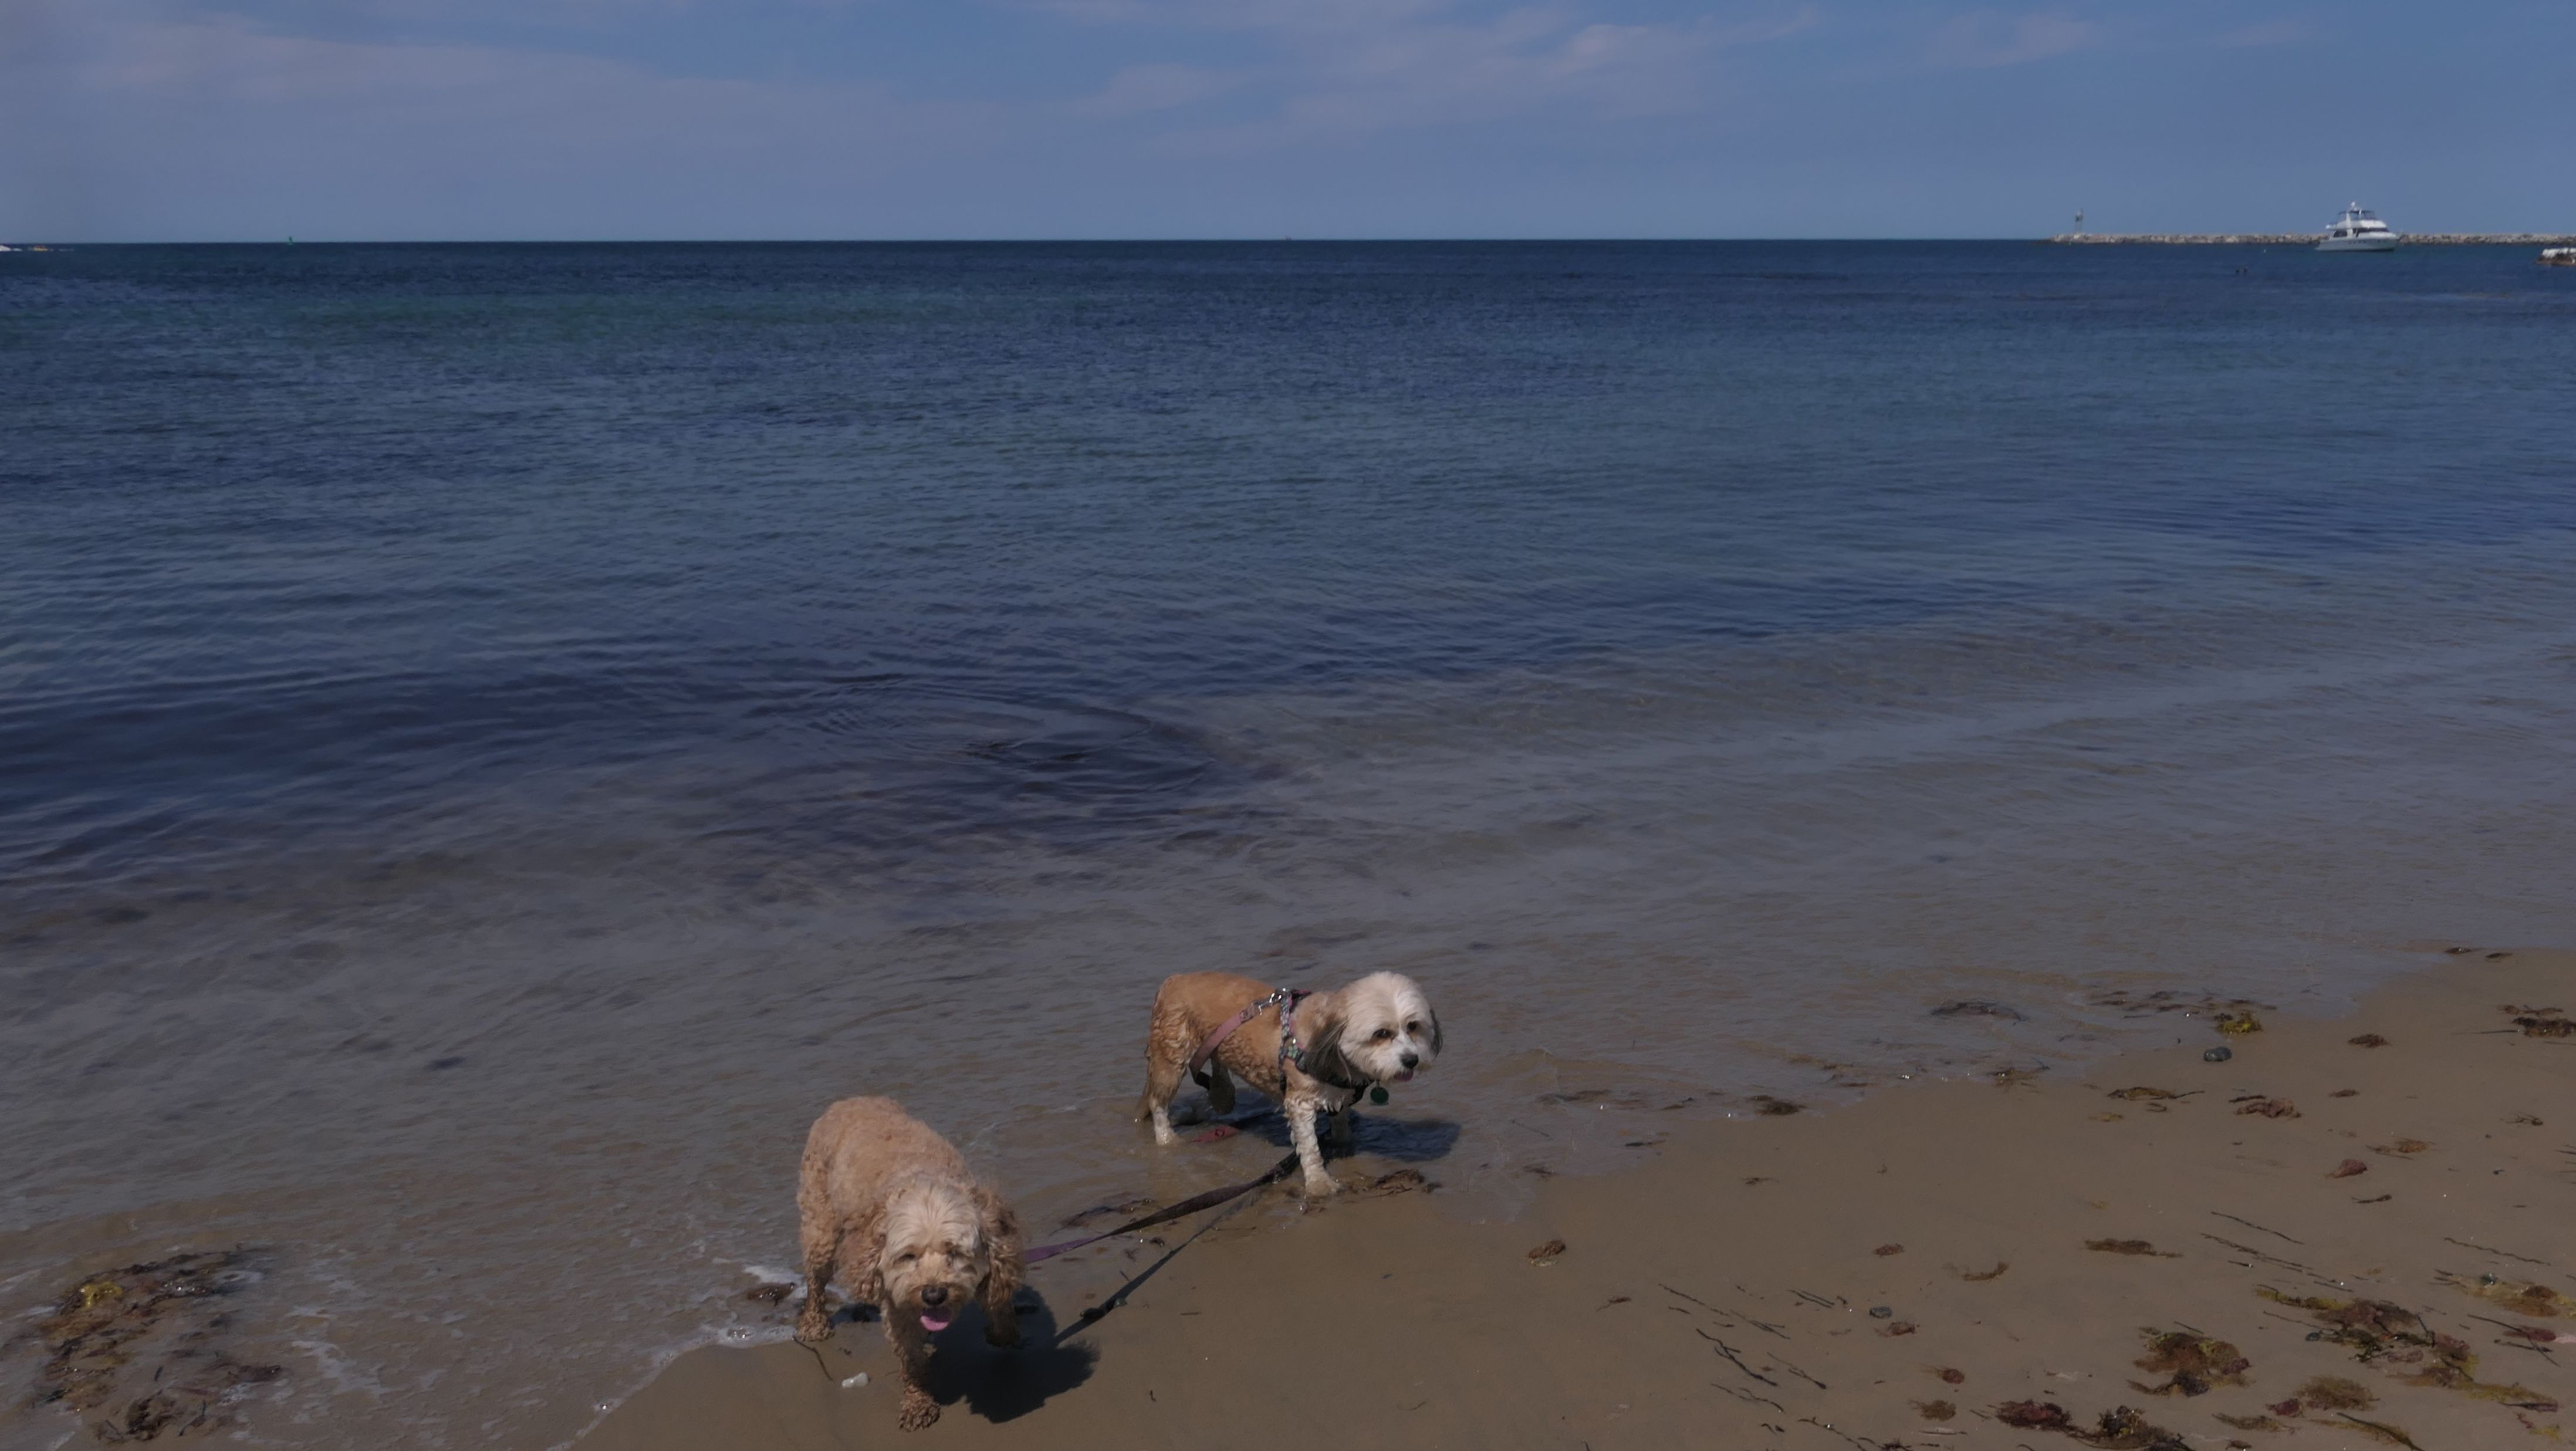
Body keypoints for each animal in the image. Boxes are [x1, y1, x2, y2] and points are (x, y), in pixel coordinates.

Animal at [795, 1097, 1022, 1431]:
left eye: (955, 1252)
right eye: (908, 1256)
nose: (933, 1295)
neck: (923, 1181)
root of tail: (848, 1100)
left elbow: (998, 1299)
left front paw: (1003, 1332)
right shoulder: (894, 1300)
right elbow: (911, 1359)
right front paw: (918, 1403)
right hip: (821, 1226)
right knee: (816, 1279)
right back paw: (814, 1323)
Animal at [1137, 971, 1441, 1196]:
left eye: (1413, 1026)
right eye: (1382, 1033)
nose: (1412, 1060)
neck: (1328, 1042)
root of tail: (1172, 981)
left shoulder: (1339, 1094)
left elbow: (1341, 1123)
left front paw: (1344, 1145)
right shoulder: (1300, 1102)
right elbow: (1309, 1146)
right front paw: (1319, 1182)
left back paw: (1222, 1094)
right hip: (1171, 1058)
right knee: (1158, 1103)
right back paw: (1167, 1138)